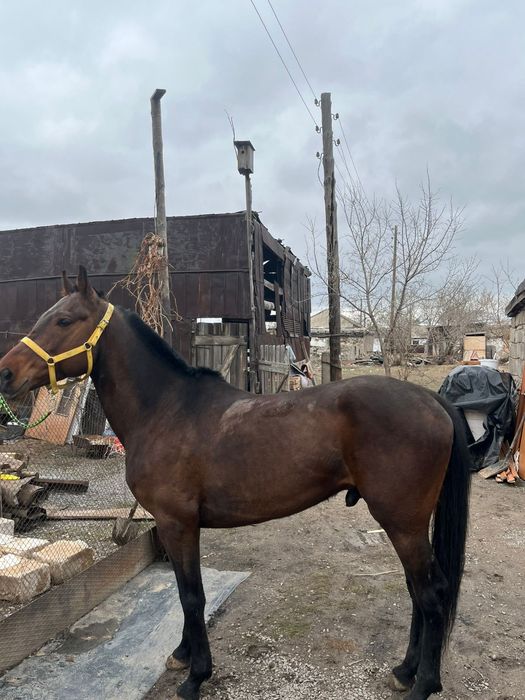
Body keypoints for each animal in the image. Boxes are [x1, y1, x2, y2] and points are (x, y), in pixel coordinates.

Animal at [0, 267, 471, 700]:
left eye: (64, 320)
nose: (5, 373)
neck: (165, 411)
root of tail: (431, 400)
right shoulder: (175, 527)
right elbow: (184, 591)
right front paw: (183, 654)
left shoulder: (178, 524)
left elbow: (192, 596)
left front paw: (196, 676)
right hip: (407, 525)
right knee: (418, 593)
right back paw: (404, 671)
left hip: (402, 523)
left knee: (430, 596)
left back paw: (423, 684)